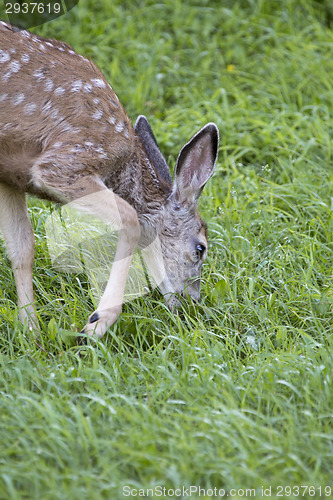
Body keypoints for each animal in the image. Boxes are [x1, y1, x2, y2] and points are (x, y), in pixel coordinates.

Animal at [0, 20, 218, 340]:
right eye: (200, 248)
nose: (192, 302)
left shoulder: (9, 176)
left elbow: (22, 247)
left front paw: (32, 333)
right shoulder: (63, 163)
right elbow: (130, 218)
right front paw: (96, 322)